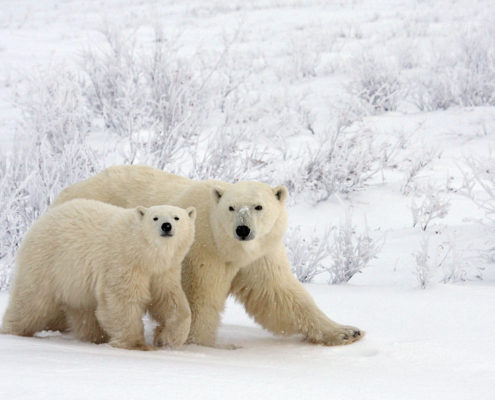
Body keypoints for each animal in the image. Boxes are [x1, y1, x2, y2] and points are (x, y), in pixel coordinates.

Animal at [1, 199, 196, 350]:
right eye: (155, 217)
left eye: (177, 217)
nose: (166, 226)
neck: (143, 253)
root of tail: (39, 221)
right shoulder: (123, 261)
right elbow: (122, 300)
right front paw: (137, 344)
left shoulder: (164, 271)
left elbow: (169, 300)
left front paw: (167, 339)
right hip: (47, 262)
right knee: (32, 302)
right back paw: (12, 331)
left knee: (83, 311)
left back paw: (95, 337)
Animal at [52, 165, 364, 346]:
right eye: (231, 207)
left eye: (258, 206)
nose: (242, 229)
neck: (227, 245)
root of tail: (65, 191)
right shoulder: (202, 251)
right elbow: (199, 298)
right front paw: (199, 345)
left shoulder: (259, 255)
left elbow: (277, 295)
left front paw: (346, 332)